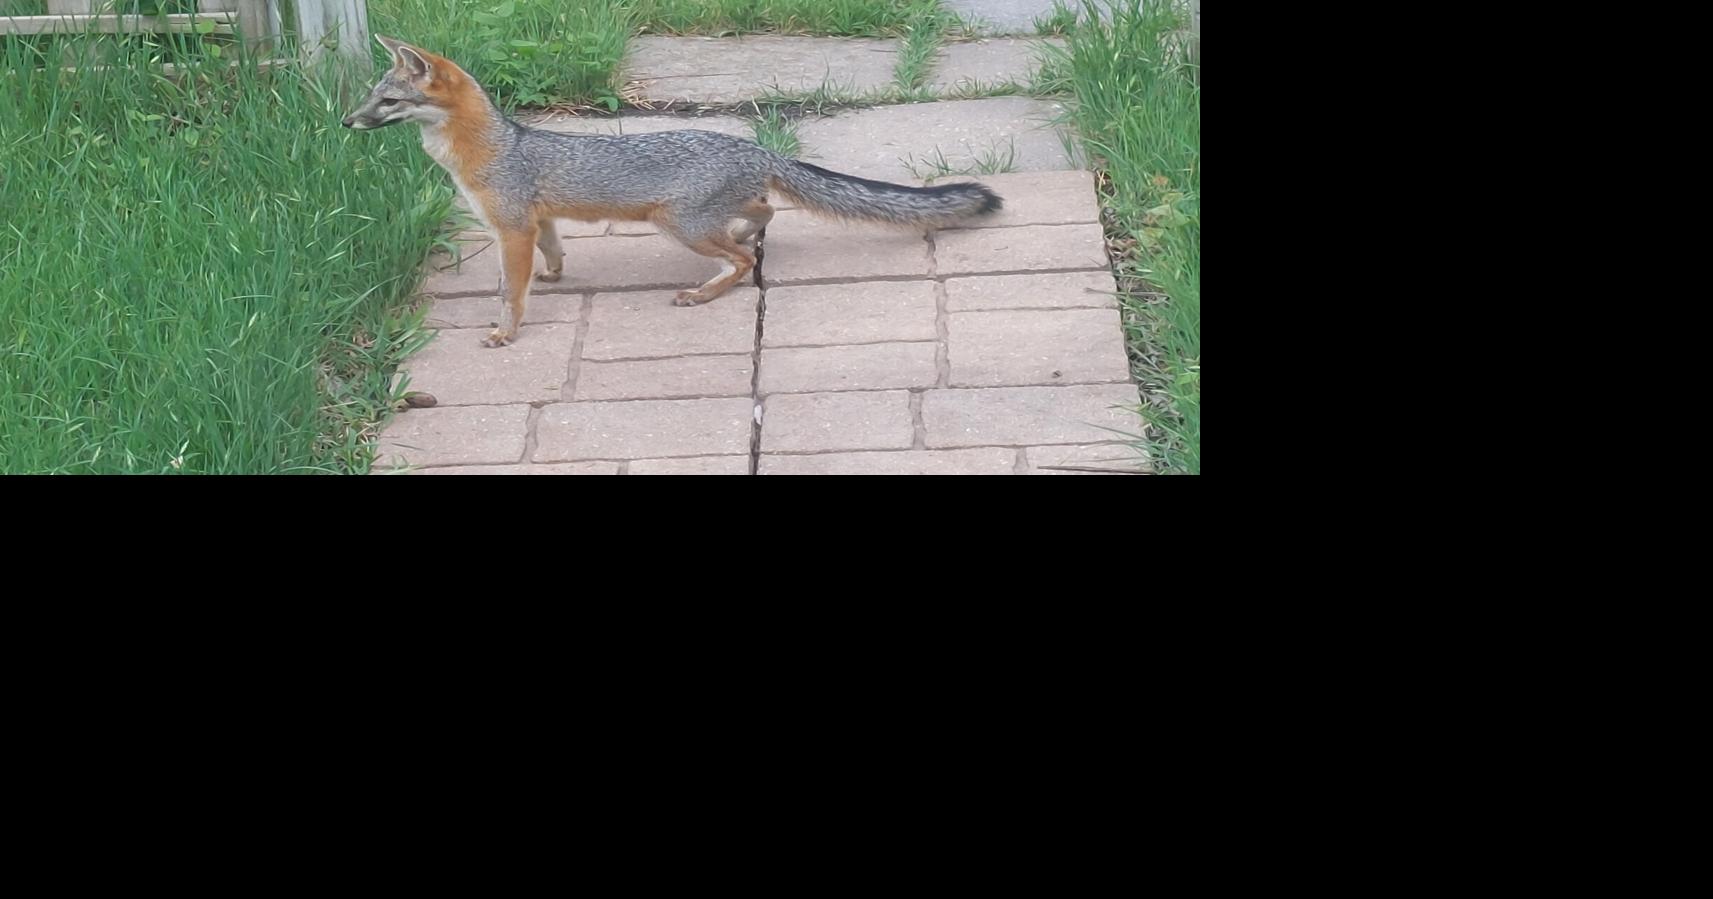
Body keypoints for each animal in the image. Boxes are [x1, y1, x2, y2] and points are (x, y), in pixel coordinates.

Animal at [343, 35, 1002, 348]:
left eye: (388, 101)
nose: (347, 122)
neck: (492, 148)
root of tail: (755, 148)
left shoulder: (511, 228)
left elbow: (512, 292)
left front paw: (508, 330)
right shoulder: (539, 222)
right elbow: (551, 255)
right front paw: (553, 276)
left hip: (677, 225)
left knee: (744, 258)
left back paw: (704, 291)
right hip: (700, 216)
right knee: (764, 210)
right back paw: (745, 232)